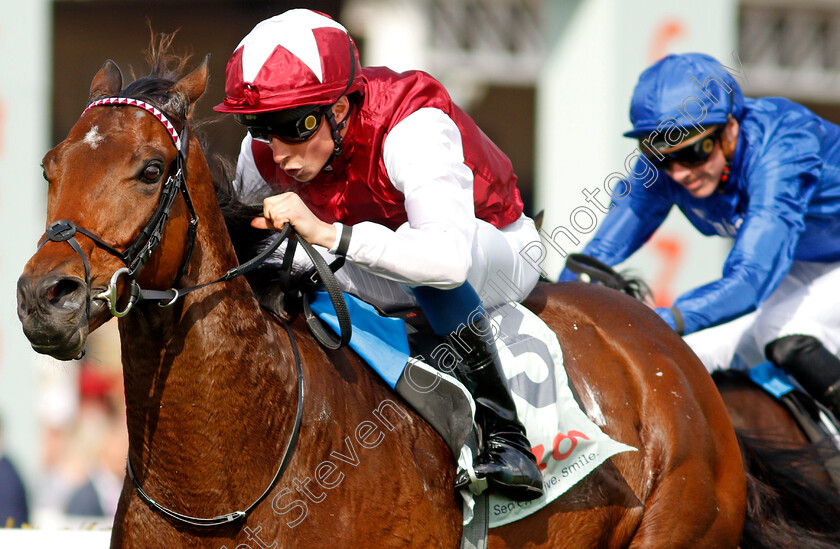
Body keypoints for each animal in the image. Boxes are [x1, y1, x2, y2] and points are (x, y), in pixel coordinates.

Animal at [11, 37, 820, 544]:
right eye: (50, 166)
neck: (227, 475)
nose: (44, 296)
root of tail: (669, 350)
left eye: (151, 170)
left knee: (449, 268)